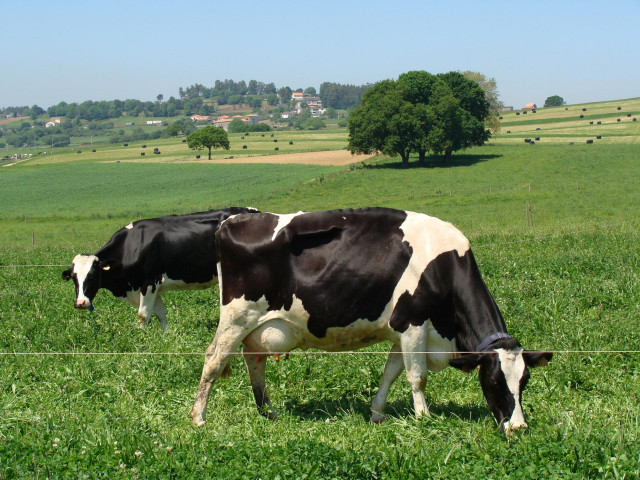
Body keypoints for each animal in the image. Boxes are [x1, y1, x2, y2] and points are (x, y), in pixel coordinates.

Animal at [62, 207, 259, 331]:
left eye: (92, 276)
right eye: (74, 279)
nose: (80, 303)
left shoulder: (148, 283)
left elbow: (143, 315)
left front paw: (142, 339)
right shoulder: (152, 288)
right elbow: (160, 314)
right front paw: (166, 336)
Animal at [189, 207, 552, 433]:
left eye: (524, 381)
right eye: (493, 380)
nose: (518, 427)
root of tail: (231, 221)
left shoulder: (401, 331)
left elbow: (391, 373)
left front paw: (377, 413)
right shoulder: (413, 323)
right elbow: (417, 377)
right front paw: (424, 418)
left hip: (259, 325)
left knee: (254, 360)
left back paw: (269, 411)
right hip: (237, 316)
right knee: (213, 359)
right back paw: (198, 418)